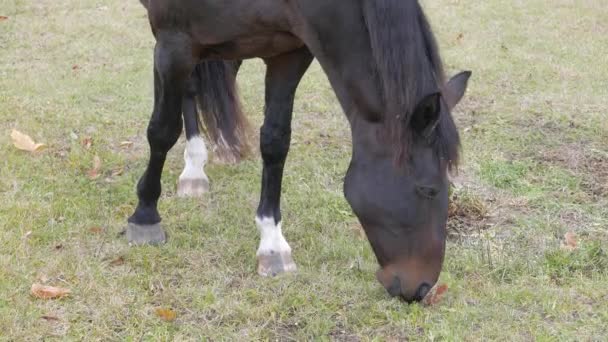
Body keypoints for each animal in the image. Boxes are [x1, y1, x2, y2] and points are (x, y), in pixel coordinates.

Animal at [128, 0, 470, 302]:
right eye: (428, 189)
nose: (421, 288)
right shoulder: (174, 43)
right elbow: (162, 131)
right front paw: (145, 216)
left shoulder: (288, 54)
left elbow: (275, 142)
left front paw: (272, 245)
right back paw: (192, 171)